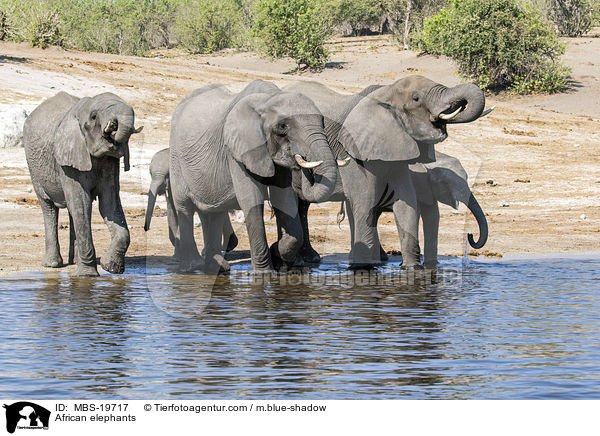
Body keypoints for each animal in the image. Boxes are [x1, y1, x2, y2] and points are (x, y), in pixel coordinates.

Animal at [23, 91, 143, 276]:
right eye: (93, 116)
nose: (113, 125)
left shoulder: (109, 163)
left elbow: (109, 204)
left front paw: (110, 267)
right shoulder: (68, 160)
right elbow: (82, 203)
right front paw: (87, 276)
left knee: (73, 212)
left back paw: (73, 262)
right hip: (34, 169)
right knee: (49, 207)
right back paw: (52, 264)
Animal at [169, 80, 338, 272]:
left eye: (323, 122)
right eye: (283, 126)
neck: (267, 100)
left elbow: (284, 199)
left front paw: (277, 255)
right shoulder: (237, 150)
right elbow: (251, 199)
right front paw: (264, 273)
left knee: (212, 211)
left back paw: (218, 268)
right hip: (176, 158)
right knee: (185, 207)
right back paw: (191, 267)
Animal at [284, 75, 488, 270]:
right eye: (416, 98)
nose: (470, 235)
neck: (387, 92)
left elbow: (407, 202)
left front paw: (412, 268)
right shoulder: (354, 150)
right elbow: (364, 199)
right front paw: (363, 268)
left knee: (304, 205)